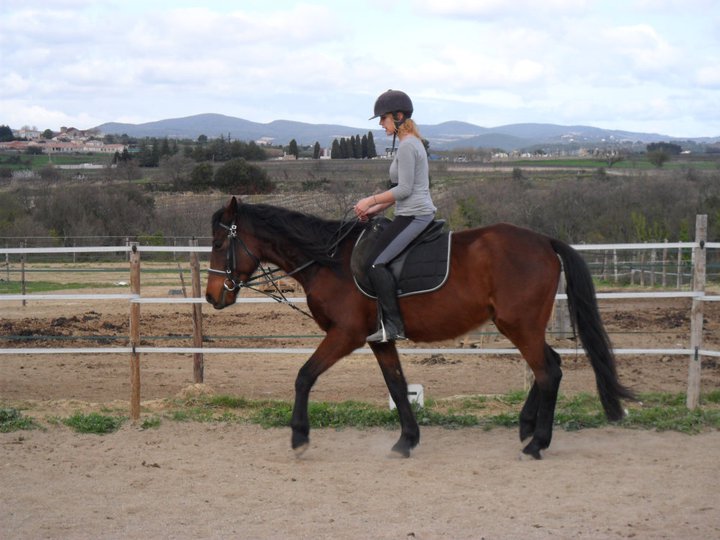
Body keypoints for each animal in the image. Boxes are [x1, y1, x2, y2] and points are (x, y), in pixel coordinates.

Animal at [204, 196, 632, 458]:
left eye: (218, 244)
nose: (211, 297)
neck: (330, 262)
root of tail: (544, 241)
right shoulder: (378, 339)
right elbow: (396, 384)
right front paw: (407, 440)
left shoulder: (345, 335)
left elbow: (304, 375)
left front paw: (299, 436)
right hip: (523, 325)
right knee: (550, 365)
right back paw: (527, 428)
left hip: (519, 325)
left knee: (547, 372)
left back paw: (537, 442)